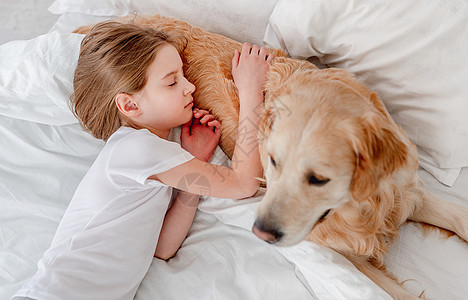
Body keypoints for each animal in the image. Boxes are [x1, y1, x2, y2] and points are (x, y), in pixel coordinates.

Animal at [75, 14, 468, 300]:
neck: (359, 210)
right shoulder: (346, 254)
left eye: (318, 178)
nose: (261, 232)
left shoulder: (404, 193)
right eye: (273, 163)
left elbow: (457, 216)